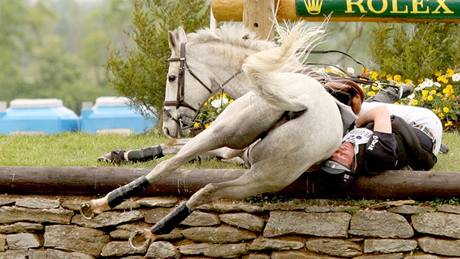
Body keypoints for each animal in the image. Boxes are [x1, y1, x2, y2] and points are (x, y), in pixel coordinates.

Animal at [81, 23, 344, 249]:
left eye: (172, 77)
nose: (167, 126)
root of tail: (297, 102)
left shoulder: (231, 151)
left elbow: (178, 147)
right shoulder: (232, 150)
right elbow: (173, 146)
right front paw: (119, 154)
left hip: (256, 164)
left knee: (192, 180)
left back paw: (133, 223)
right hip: (256, 163)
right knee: (188, 177)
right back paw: (123, 215)